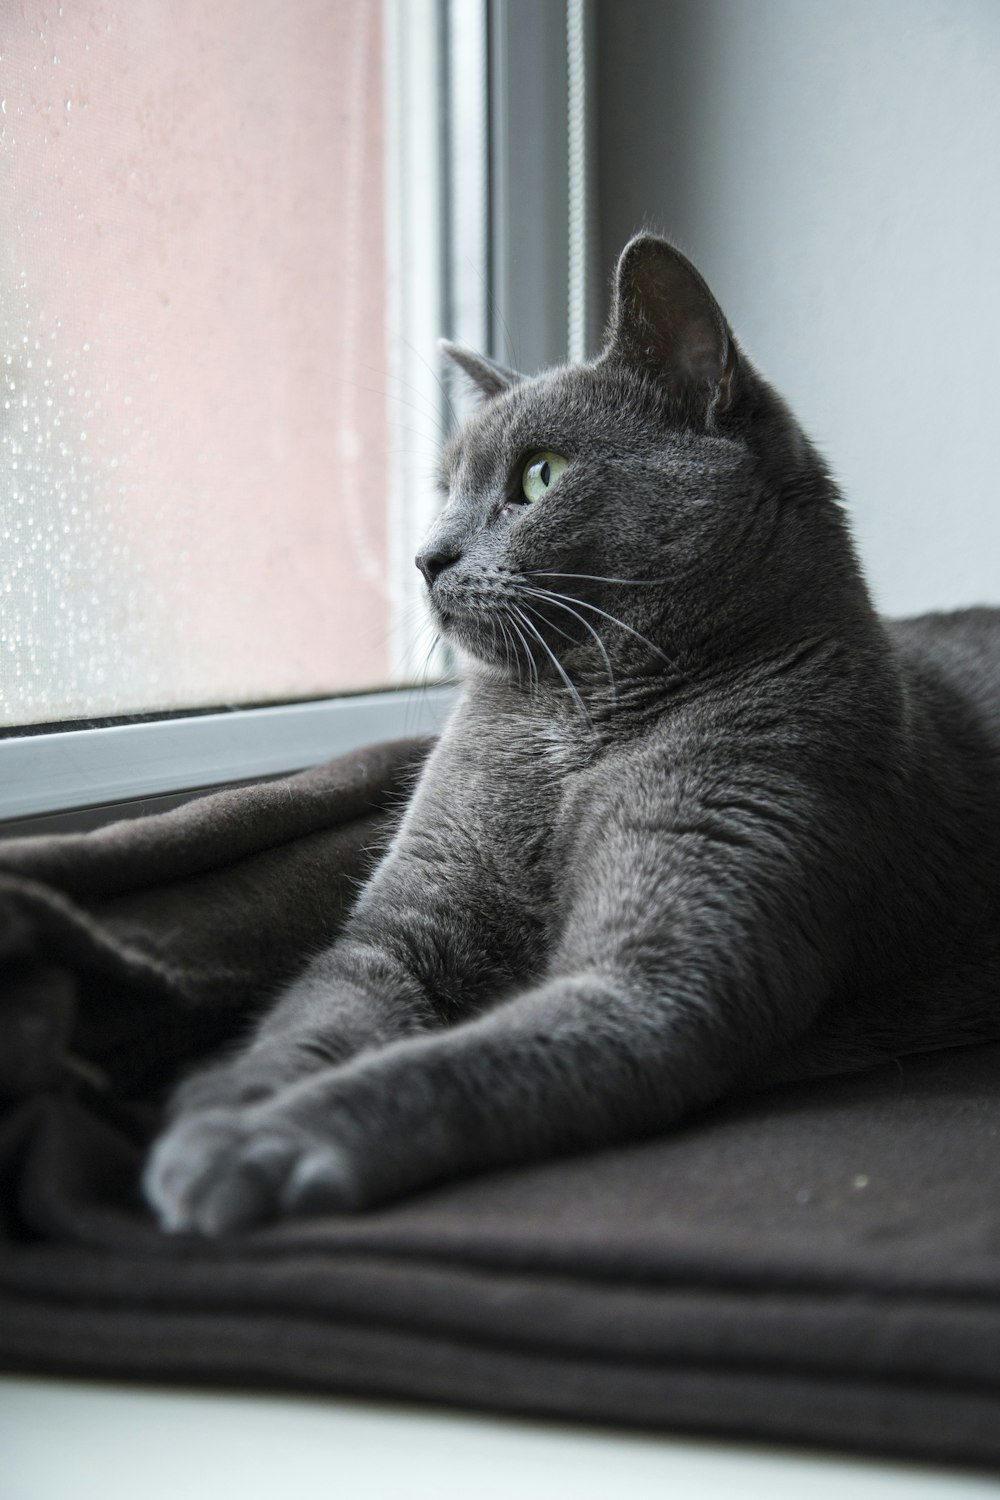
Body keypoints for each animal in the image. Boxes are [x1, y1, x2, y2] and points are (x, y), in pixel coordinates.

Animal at [144, 240, 995, 1236]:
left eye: (540, 475)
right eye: (446, 489)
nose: (426, 557)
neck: (572, 725)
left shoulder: (662, 971)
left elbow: (448, 1066)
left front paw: (256, 1145)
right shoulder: (401, 924)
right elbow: (318, 1013)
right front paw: (228, 1098)